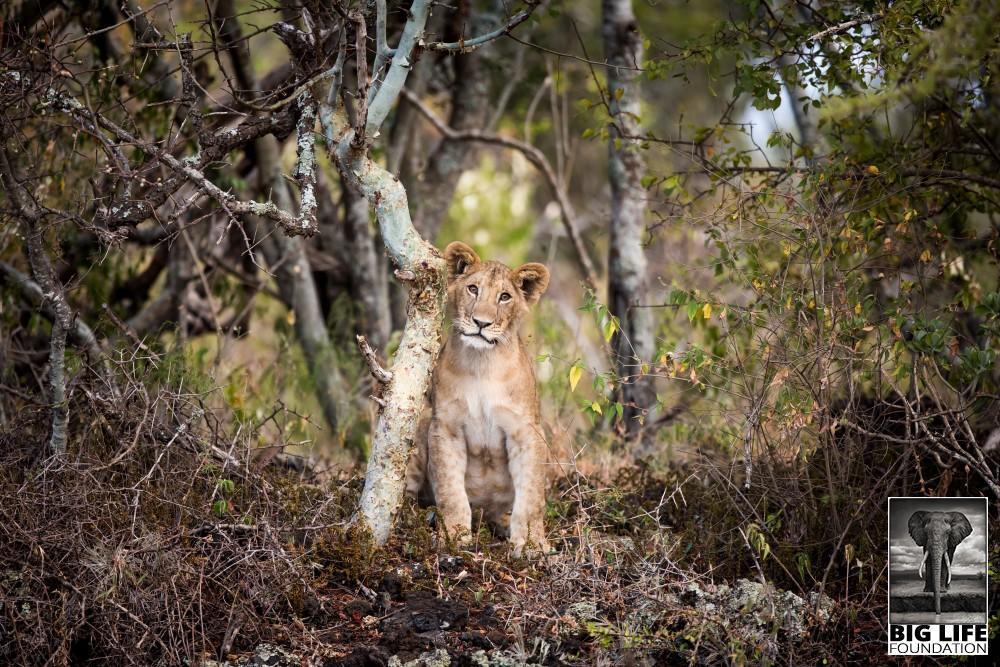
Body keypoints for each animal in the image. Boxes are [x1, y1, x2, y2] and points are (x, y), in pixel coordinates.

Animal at [406, 241, 551, 556]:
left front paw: (531, 543)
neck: (482, 363)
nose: (481, 323)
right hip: (420, 427)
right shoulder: (445, 427)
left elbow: (531, 494)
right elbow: (450, 491)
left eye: (505, 297)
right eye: (473, 289)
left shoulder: (526, 431)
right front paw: (455, 536)